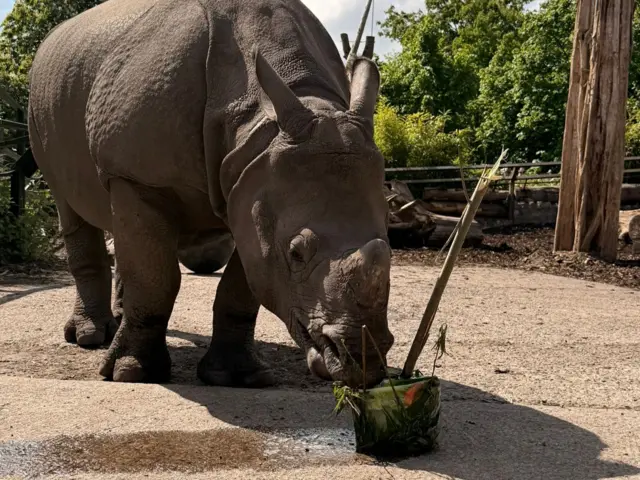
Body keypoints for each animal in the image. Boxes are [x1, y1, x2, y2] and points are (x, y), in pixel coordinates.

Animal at [28, 0, 393, 388]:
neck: (259, 127)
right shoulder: (138, 176)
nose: (364, 362)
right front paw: (133, 373)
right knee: (70, 206)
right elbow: (156, 279)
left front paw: (237, 376)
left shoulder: (252, 186)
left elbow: (243, 285)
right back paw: (91, 337)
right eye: (296, 253)